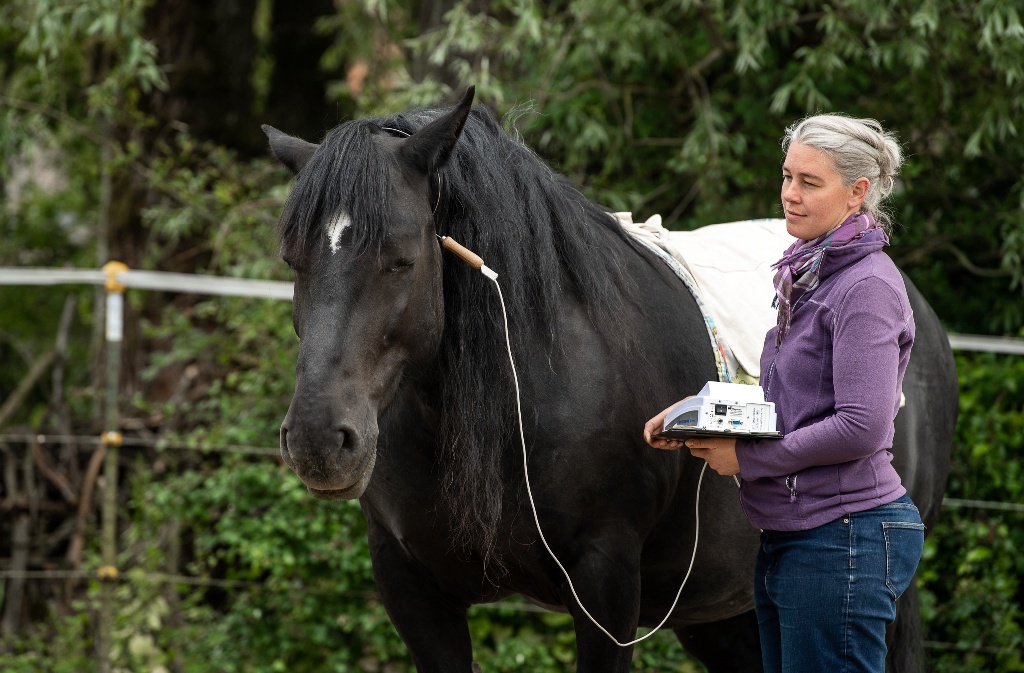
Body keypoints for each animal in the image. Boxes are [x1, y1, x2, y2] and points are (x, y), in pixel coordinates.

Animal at [262, 88, 957, 672]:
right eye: (294, 260)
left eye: (401, 258)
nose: (319, 439)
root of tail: (921, 316)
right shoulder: (411, 589)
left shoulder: (606, 587)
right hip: (723, 609)